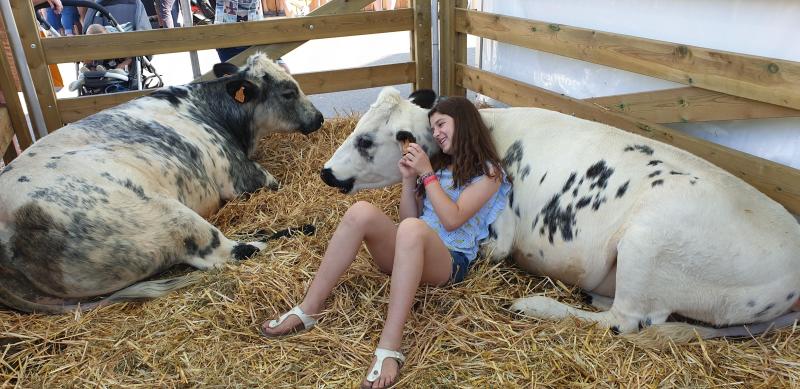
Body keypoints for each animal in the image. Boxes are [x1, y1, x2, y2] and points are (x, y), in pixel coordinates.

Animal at [1, 52, 324, 312]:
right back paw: (294, 231)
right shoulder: (240, 175)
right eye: (288, 92)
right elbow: (274, 183)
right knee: (230, 252)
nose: (319, 117)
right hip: (169, 217)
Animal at [318, 87, 800, 340]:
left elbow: (490, 247)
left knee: (625, 321)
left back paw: (535, 306)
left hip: (647, 244)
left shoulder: (503, 231)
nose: (325, 171)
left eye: (365, 140)